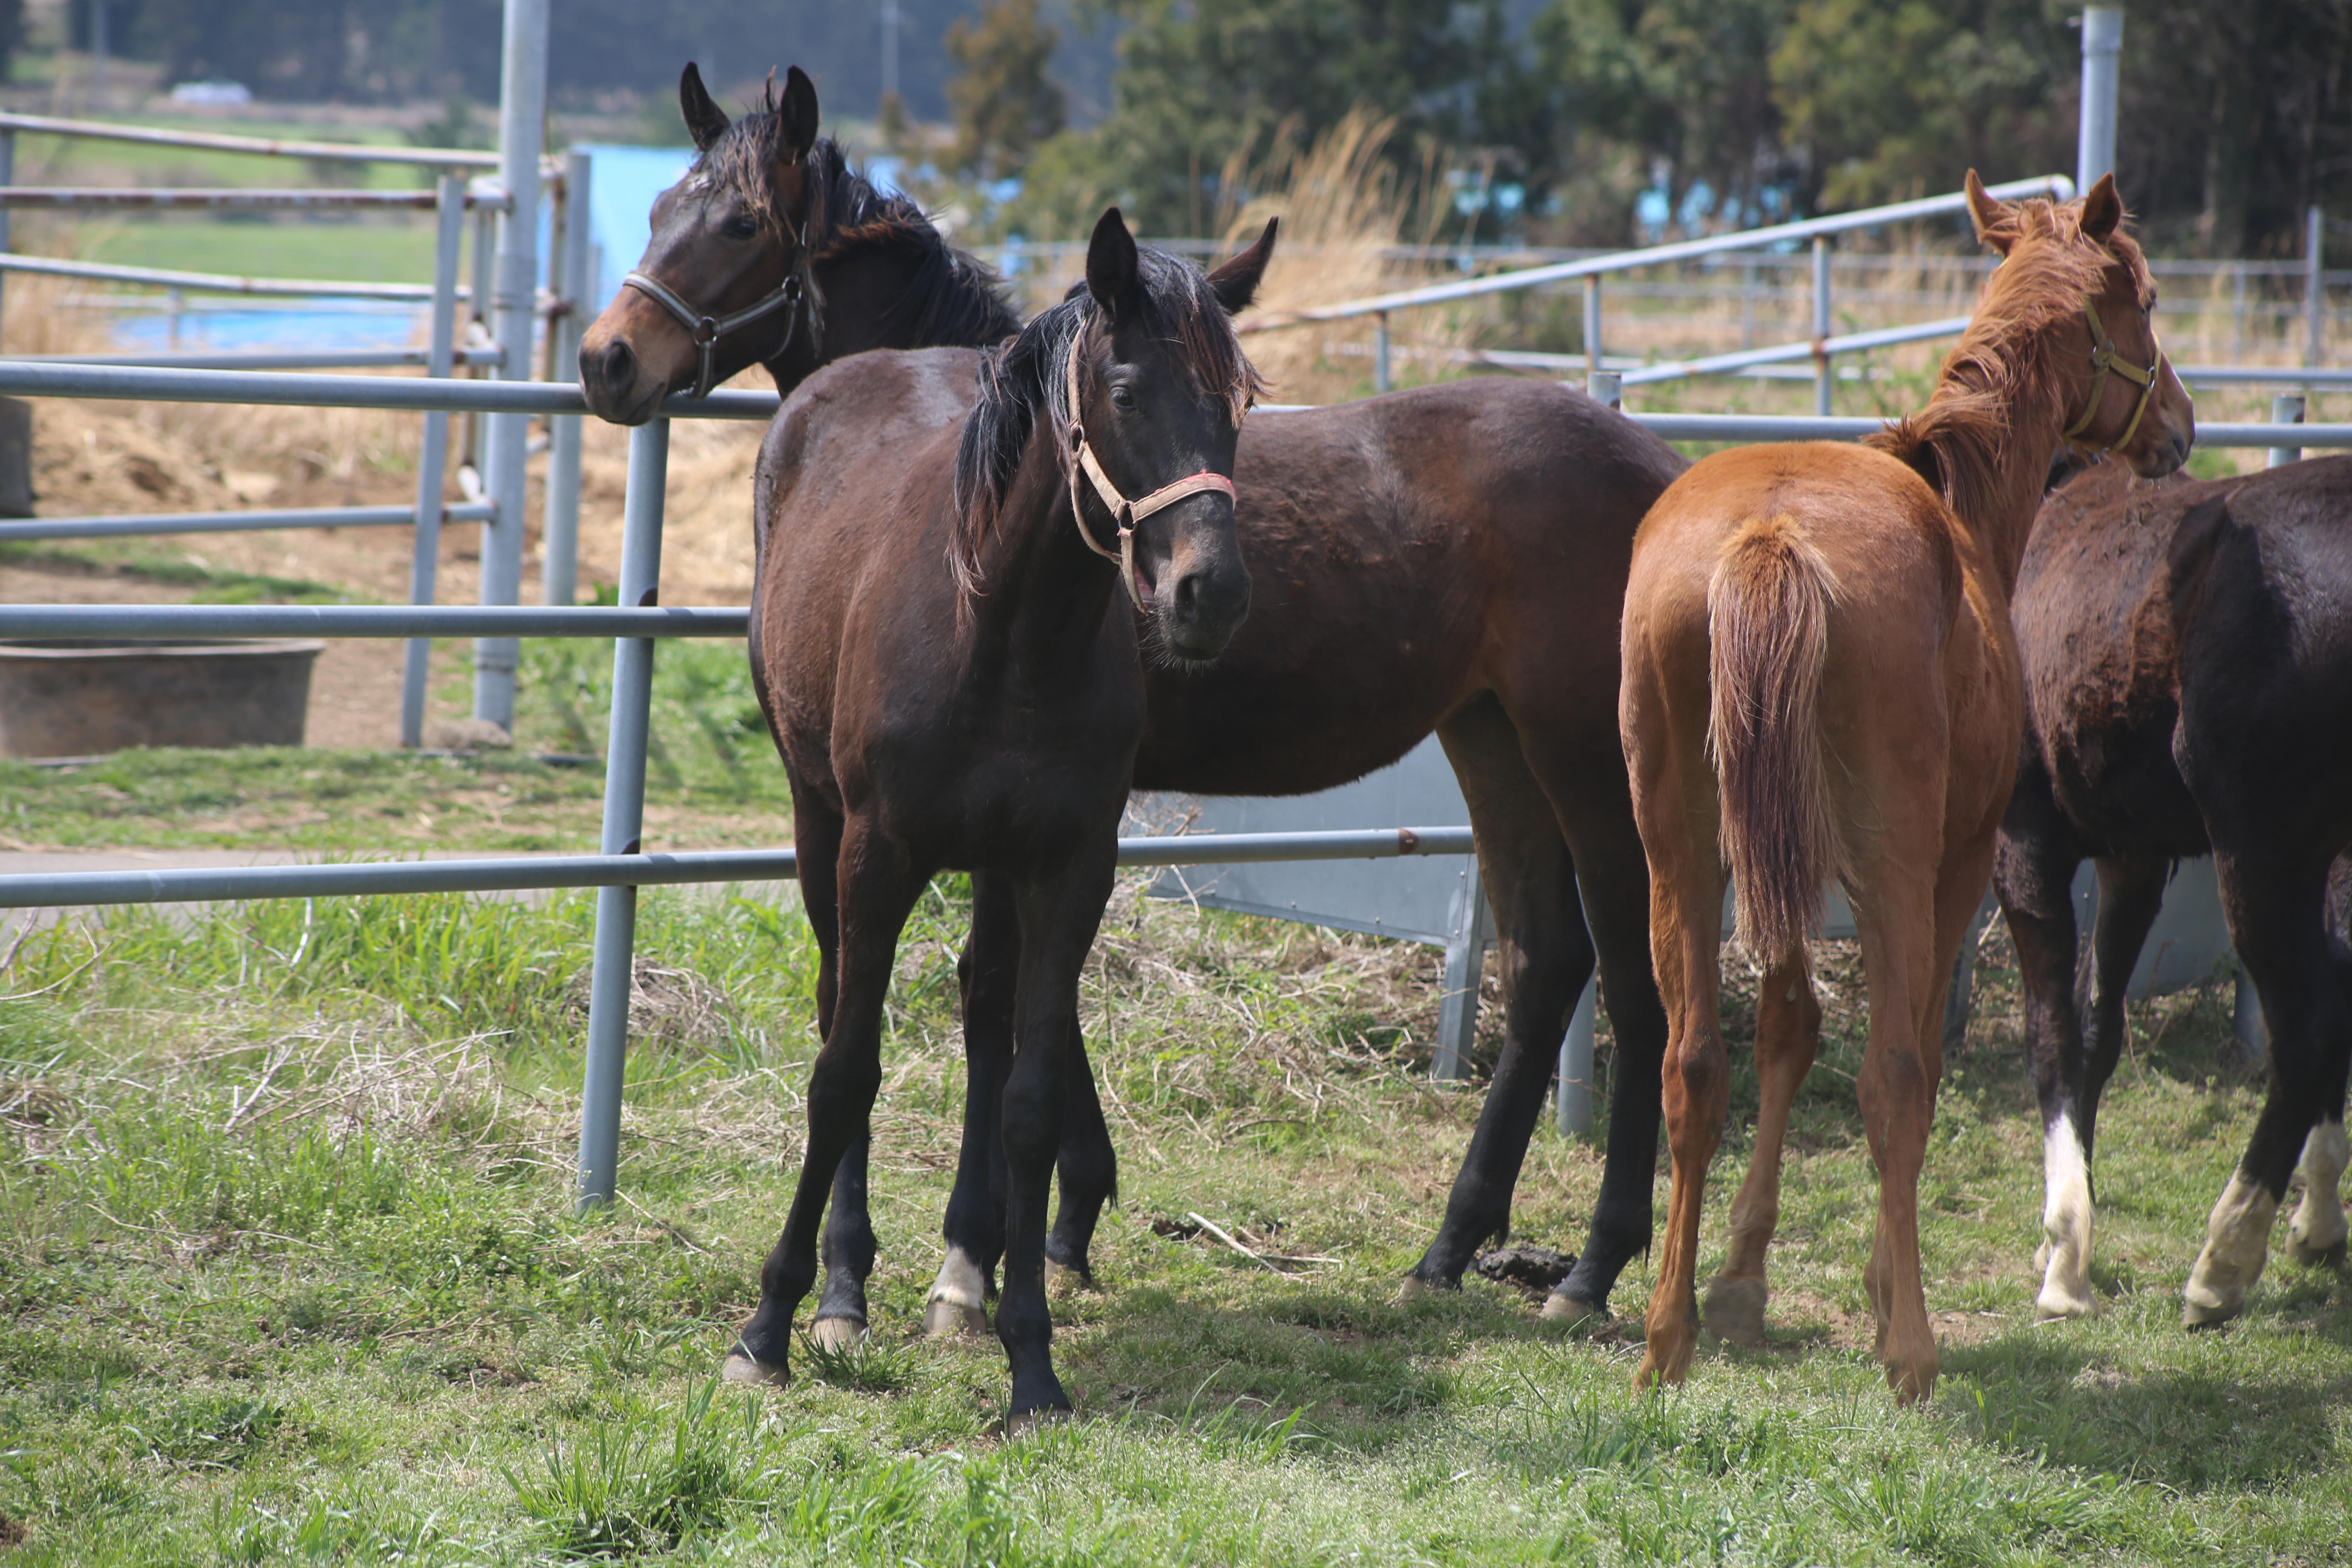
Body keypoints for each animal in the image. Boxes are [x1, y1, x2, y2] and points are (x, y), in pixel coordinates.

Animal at [719, 205, 1279, 1420]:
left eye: (1239, 402)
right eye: (1126, 390)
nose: (1209, 595)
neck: (1004, 625)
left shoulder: (1068, 867)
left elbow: (1029, 1096)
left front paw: (1031, 1360)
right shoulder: (877, 853)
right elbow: (844, 1075)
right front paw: (772, 1322)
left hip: (989, 866)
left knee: (982, 1011)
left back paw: (960, 1279)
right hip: (816, 818)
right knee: (840, 1004)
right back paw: (844, 1289)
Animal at [1618, 175, 2183, 1410]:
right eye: (2147, 300)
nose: (2180, 425)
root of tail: (1771, 533)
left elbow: (1786, 1026)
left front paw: (1739, 1283)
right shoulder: (1957, 869)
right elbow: (1906, 1059)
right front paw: (1880, 1292)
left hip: (1680, 852)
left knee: (1693, 1068)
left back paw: (1665, 1337)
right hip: (1889, 867)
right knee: (1893, 1082)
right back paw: (1910, 1349)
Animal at [1994, 454, 2352, 1326]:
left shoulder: (2026, 847)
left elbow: (2051, 1035)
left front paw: (2065, 1260)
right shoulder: (2132, 860)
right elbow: (2096, 1029)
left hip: (2260, 855)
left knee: (2310, 1028)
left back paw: (2224, 1262)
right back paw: (2316, 1216)